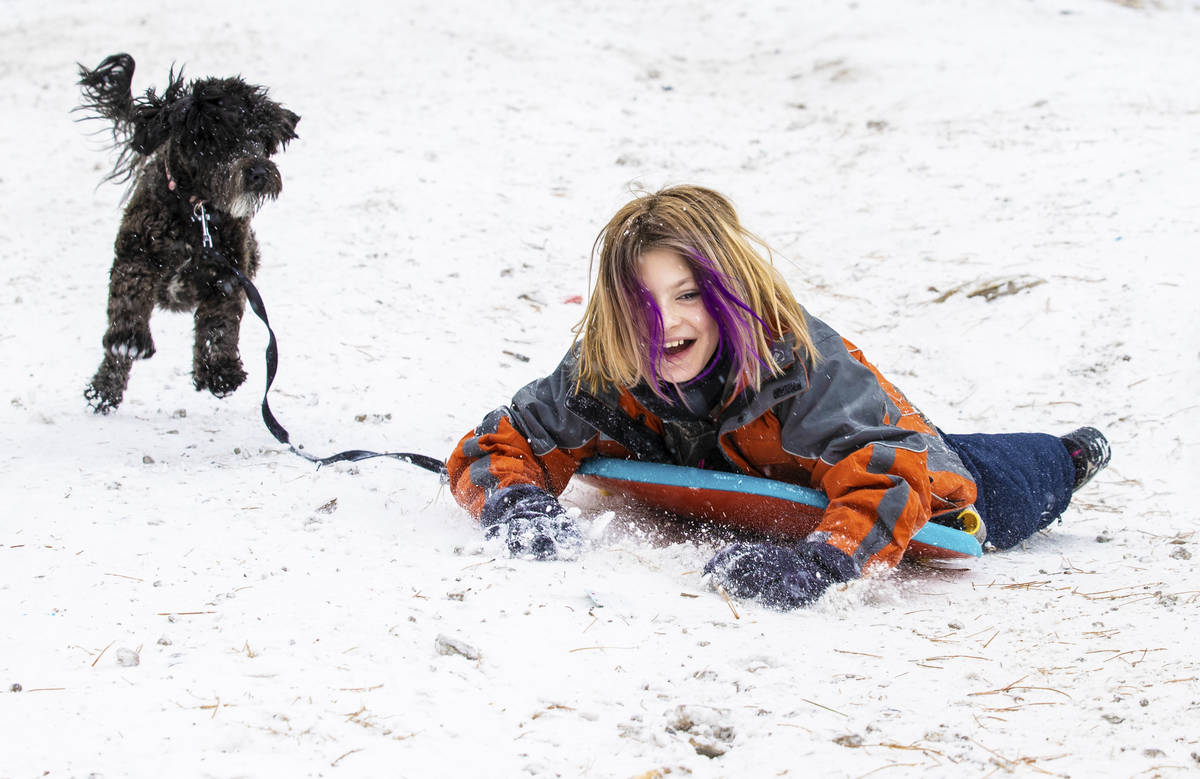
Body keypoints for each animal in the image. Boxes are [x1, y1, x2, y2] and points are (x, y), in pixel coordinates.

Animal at [76, 53, 297, 412]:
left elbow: (219, 324)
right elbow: (130, 298)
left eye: (263, 140)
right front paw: (129, 341)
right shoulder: (134, 255)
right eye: (219, 139)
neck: (197, 212)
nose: (258, 172)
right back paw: (104, 389)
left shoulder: (228, 275)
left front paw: (219, 371)